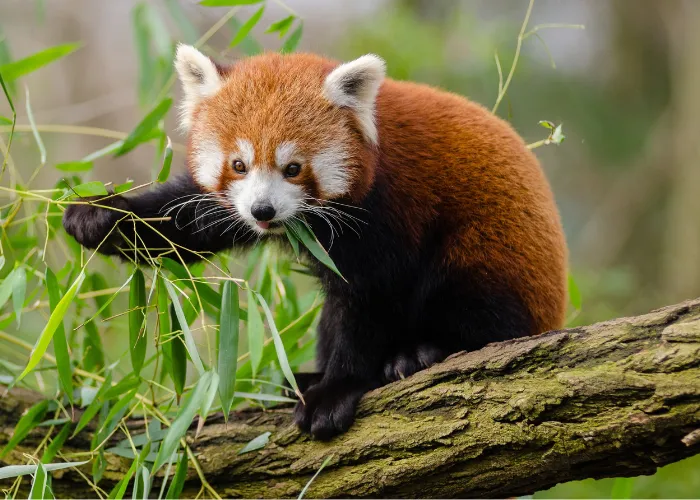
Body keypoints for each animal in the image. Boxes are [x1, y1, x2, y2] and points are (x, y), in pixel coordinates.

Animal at [64, 45, 568, 440]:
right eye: (239, 165)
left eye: (293, 168)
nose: (263, 211)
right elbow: (186, 221)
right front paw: (100, 215)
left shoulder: (388, 212)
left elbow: (368, 300)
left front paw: (337, 390)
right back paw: (304, 376)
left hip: (494, 254)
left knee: (477, 302)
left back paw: (423, 352)